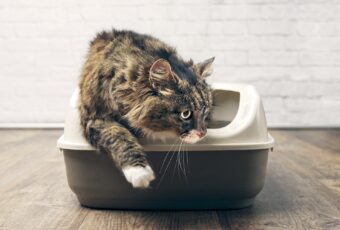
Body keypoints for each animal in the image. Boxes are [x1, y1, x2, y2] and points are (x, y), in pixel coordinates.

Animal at [78, 28, 214, 188]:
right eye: (185, 114)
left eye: (205, 110)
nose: (203, 133)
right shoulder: (94, 118)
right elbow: (119, 136)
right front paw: (139, 172)